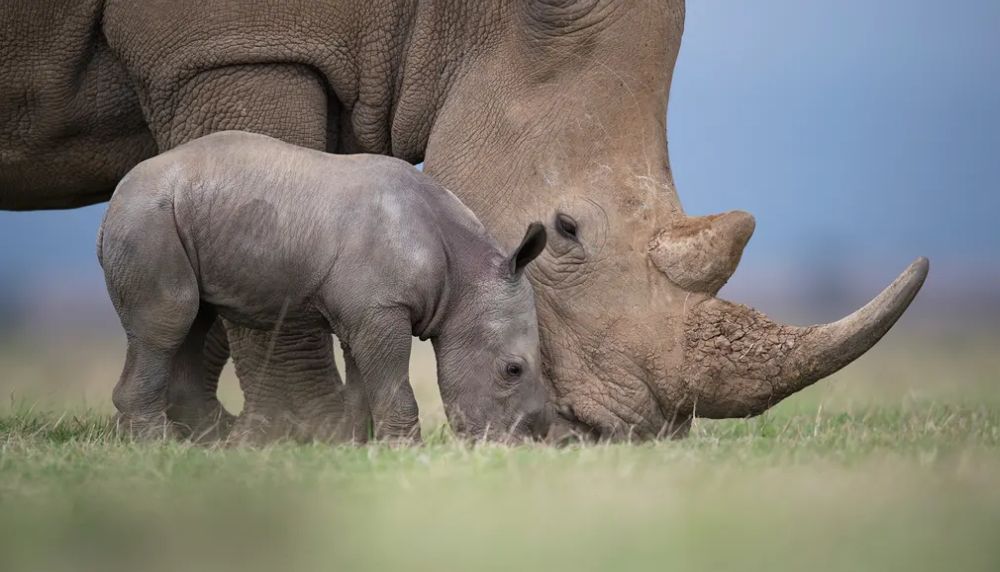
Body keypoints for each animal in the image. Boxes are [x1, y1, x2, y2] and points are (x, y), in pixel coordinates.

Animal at [98, 131, 552, 442]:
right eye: (512, 370)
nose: (510, 446)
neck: (464, 275)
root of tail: (112, 206)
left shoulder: (364, 312)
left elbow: (363, 384)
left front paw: (357, 447)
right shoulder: (381, 308)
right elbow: (391, 383)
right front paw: (407, 450)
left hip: (175, 217)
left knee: (194, 322)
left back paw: (211, 445)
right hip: (147, 220)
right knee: (169, 321)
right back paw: (161, 447)